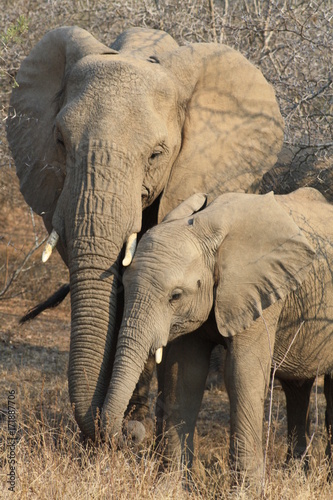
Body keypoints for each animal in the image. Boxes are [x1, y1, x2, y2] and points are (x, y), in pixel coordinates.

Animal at [103, 188, 332, 480]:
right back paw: (295, 475)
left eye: (175, 296)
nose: (131, 429)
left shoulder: (259, 291)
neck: (204, 227)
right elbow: (186, 375)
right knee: (297, 387)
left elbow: (241, 373)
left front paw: (245, 488)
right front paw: (172, 485)